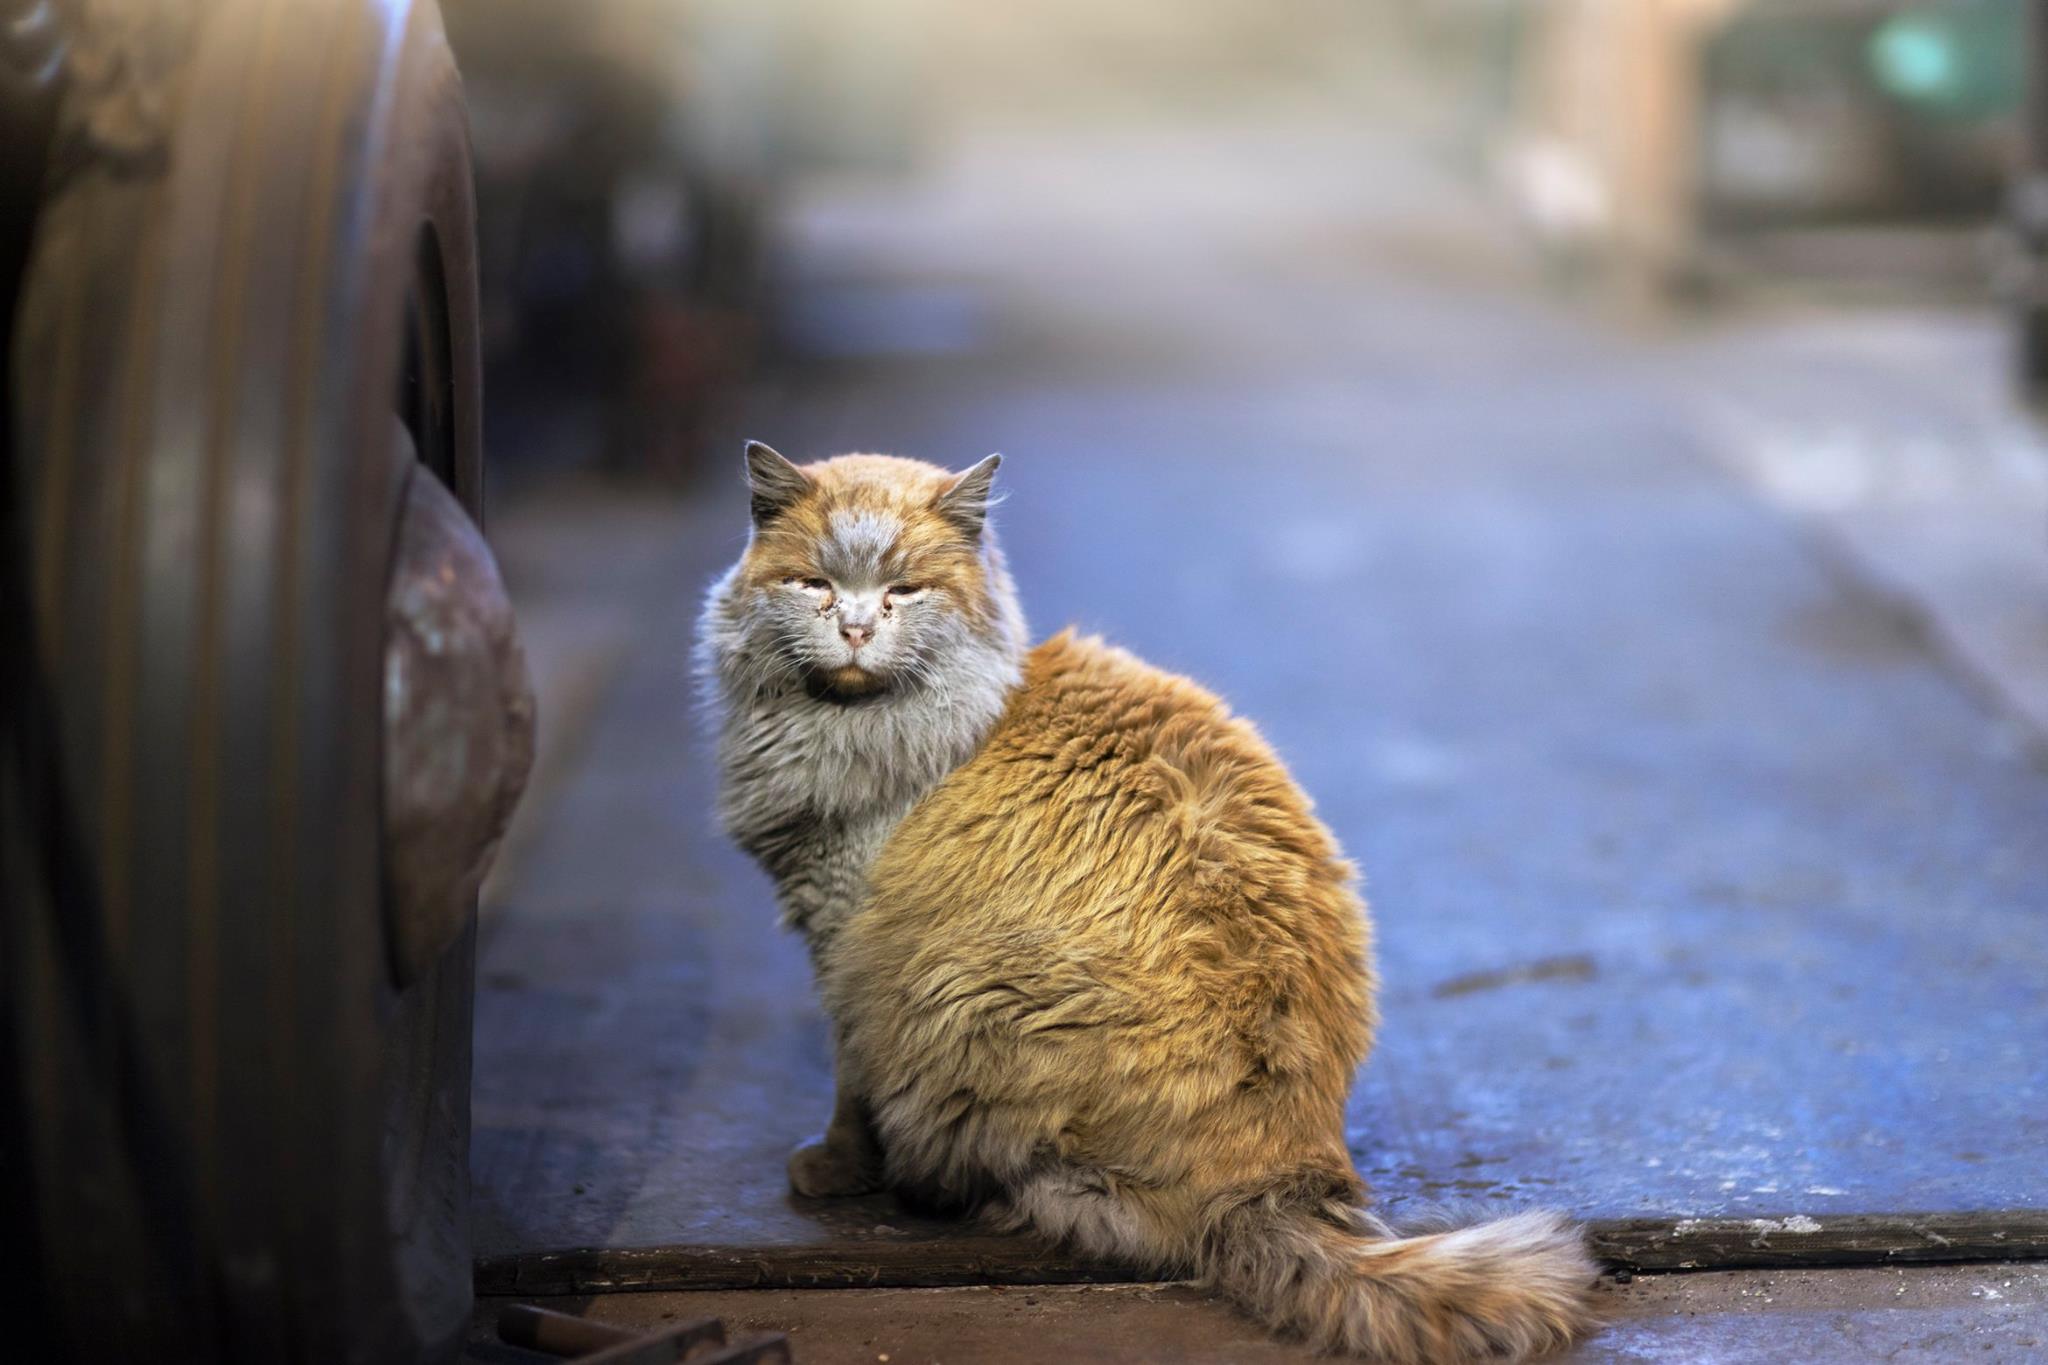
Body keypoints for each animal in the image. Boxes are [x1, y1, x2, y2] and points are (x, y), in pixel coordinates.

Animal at [704, 444, 1597, 1358]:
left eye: (904, 590)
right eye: (815, 583)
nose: (854, 628)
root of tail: (1283, 1175)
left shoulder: (843, 938)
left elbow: (848, 1083)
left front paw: (835, 1167)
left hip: (953, 995)